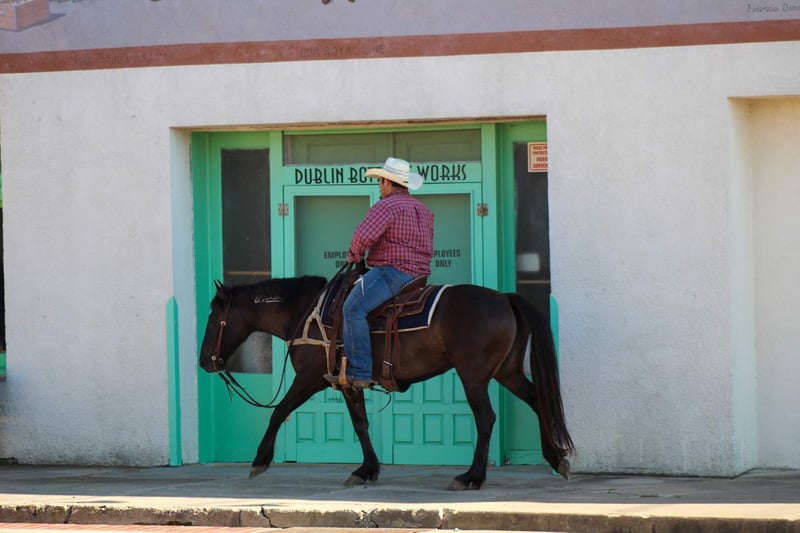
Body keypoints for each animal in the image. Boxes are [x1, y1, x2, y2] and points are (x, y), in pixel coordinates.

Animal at [199, 274, 574, 490]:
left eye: (215, 318)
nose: (204, 361)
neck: (306, 313)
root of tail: (505, 298)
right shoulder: (347, 382)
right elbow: (360, 424)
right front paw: (366, 470)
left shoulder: (308, 378)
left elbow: (279, 411)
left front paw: (260, 460)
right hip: (507, 371)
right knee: (537, 400)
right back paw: (555, 459)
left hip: (474, 375)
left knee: (486, 418)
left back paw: (471, 477)